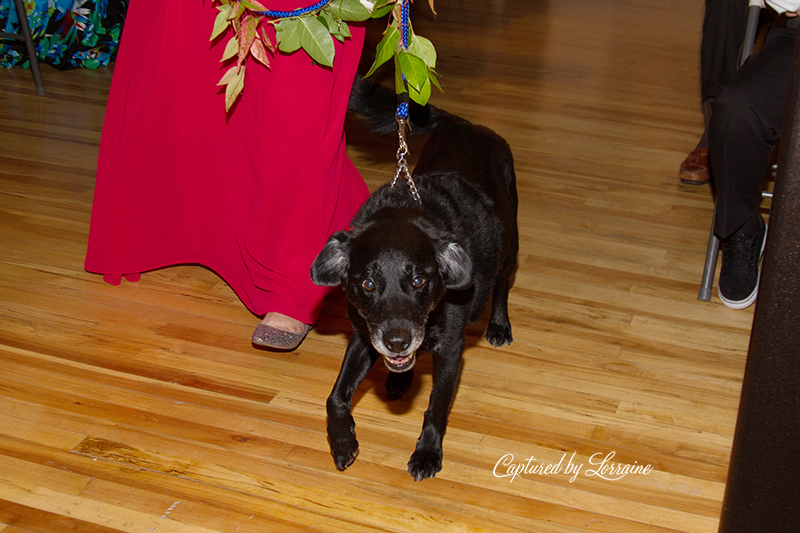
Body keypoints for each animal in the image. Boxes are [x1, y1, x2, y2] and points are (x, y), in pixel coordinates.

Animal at [306, 77, 520, 480]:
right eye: (367, 284)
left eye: (421, 281)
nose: (397, 342)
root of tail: (467, 125)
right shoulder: (364, 336)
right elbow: (334, 396)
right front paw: (342, 441)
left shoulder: (451, 351)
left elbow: (435, 408)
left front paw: (427, 454)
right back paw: (399, 377)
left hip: (509, 245)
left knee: (501, 285)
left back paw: (499, 325)